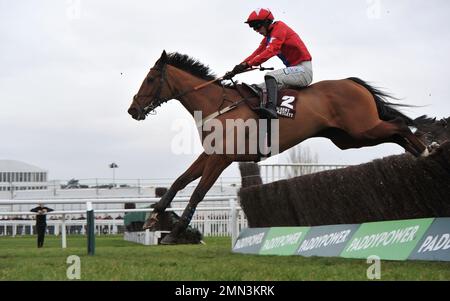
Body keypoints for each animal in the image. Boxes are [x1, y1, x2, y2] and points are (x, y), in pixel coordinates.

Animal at [126, 50, 428, 244]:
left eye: (150, 79)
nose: (133, 110)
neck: (217, 103)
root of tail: (351, 83)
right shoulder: (211, 153)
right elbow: (180, 181)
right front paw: (153, 217)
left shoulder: (222, 157)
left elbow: (198, 192)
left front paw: (173, 234)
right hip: (349, 138)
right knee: (395, 132)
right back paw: (419, 153)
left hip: (361, 128)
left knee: (399, 125)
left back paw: (426, 149)